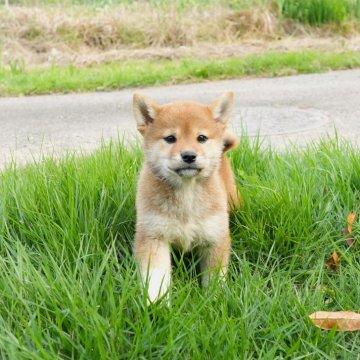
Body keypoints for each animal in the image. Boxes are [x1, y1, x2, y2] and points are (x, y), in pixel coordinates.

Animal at [132, 91, 239, 302]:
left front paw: (213, 301)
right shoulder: (153, 236)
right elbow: (156, 279)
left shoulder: (215, 237)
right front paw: (156, 304)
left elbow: (214, 278)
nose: (189, 156)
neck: (187, 194)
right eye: (170, 138)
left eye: (201, 138)